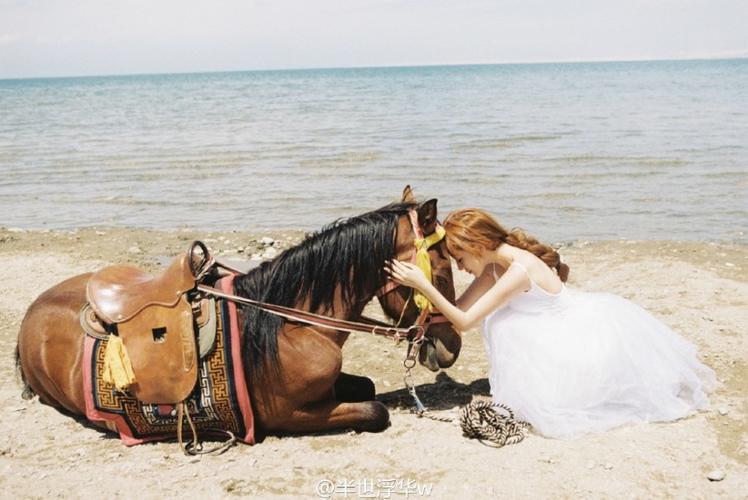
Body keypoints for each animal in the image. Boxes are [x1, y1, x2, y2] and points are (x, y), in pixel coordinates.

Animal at [15, 188, 461, 438]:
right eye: (440, 272)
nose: (451, 346)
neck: (289, 324)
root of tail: (31, 314)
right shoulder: (288, 415)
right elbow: (376, 410)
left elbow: (366, 386)